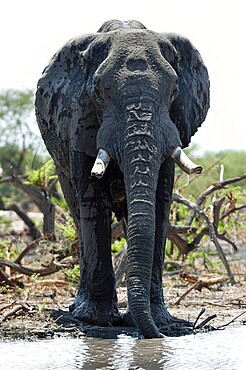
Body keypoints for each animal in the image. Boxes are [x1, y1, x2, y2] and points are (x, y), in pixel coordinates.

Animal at [35, 19, 209, 338]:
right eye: (98, 93)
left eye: (174, 91)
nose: (160, 336)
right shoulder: (79, 118)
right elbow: (94, 203)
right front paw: (98, 320)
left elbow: (159, 204)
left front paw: (159, 320)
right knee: (78, 214)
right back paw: (79, 310)